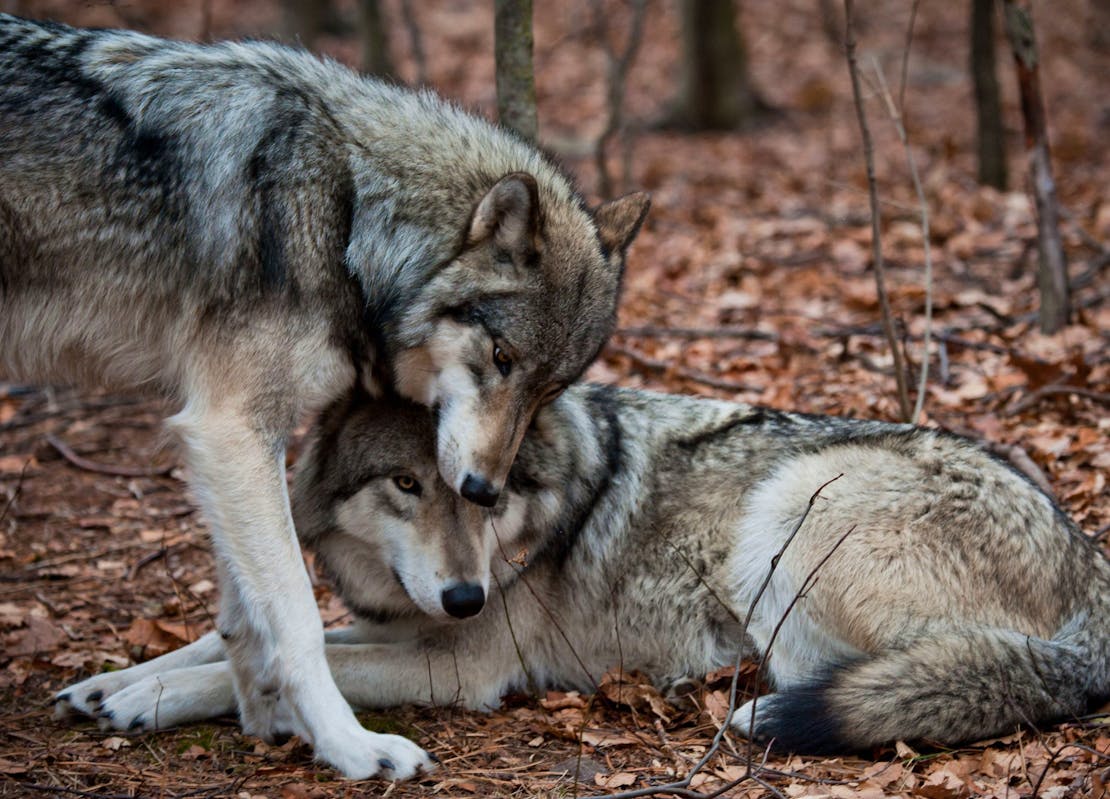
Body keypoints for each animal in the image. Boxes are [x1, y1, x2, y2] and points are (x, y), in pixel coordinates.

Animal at [1, 13, 649, 778]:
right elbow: (298, 616)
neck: (347, 213)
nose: (485, 489)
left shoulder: (234, 438)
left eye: (551, 388)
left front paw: (250, 714)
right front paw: (349, 744)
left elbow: (241, 617)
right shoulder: (230, 424)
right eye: (501, 357)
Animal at [57, 385, 1110, 754]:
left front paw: (147, 702)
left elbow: (288, 663)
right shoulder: (406, 622)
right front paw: (109, 682)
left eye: (481, 490)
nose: (465, 594)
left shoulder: (458, 662)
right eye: (406, 483)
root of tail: (1090, 566)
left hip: (791, 507)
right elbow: (228, 640)